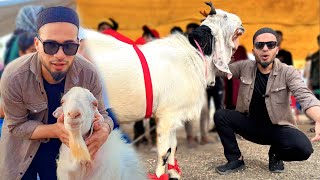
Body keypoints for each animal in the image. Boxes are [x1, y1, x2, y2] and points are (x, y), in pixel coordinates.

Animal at [83, 2, 245, 179]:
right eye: (225, 16)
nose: (241, 22)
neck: (194, 54)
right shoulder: (167, 115)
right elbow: (164, 151)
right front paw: (161, 175)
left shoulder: (175, 115)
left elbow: (173, 147)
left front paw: (174, 173)